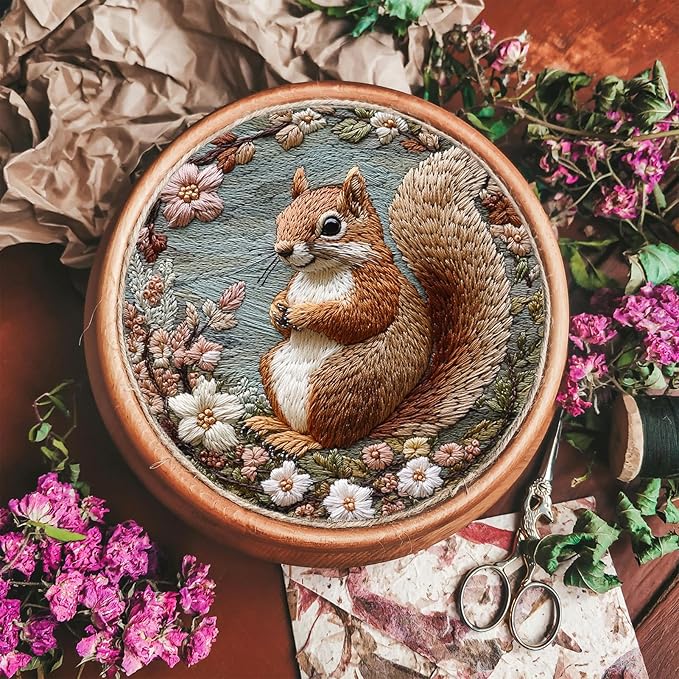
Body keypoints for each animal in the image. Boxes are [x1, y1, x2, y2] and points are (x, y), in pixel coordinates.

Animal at [246, 146, 513, 457]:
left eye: (331, 226)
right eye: (280, 218)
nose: (283, 249)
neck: (320, 274)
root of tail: (372, 427)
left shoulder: (380, 287)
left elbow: (360, 318)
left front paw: (304, 314)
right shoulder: (294, 286)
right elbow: (285, 317)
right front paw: (276, 309)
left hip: (338, 384)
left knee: (326, 440)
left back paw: (296, 439)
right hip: (274, 365)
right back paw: (272, 425)